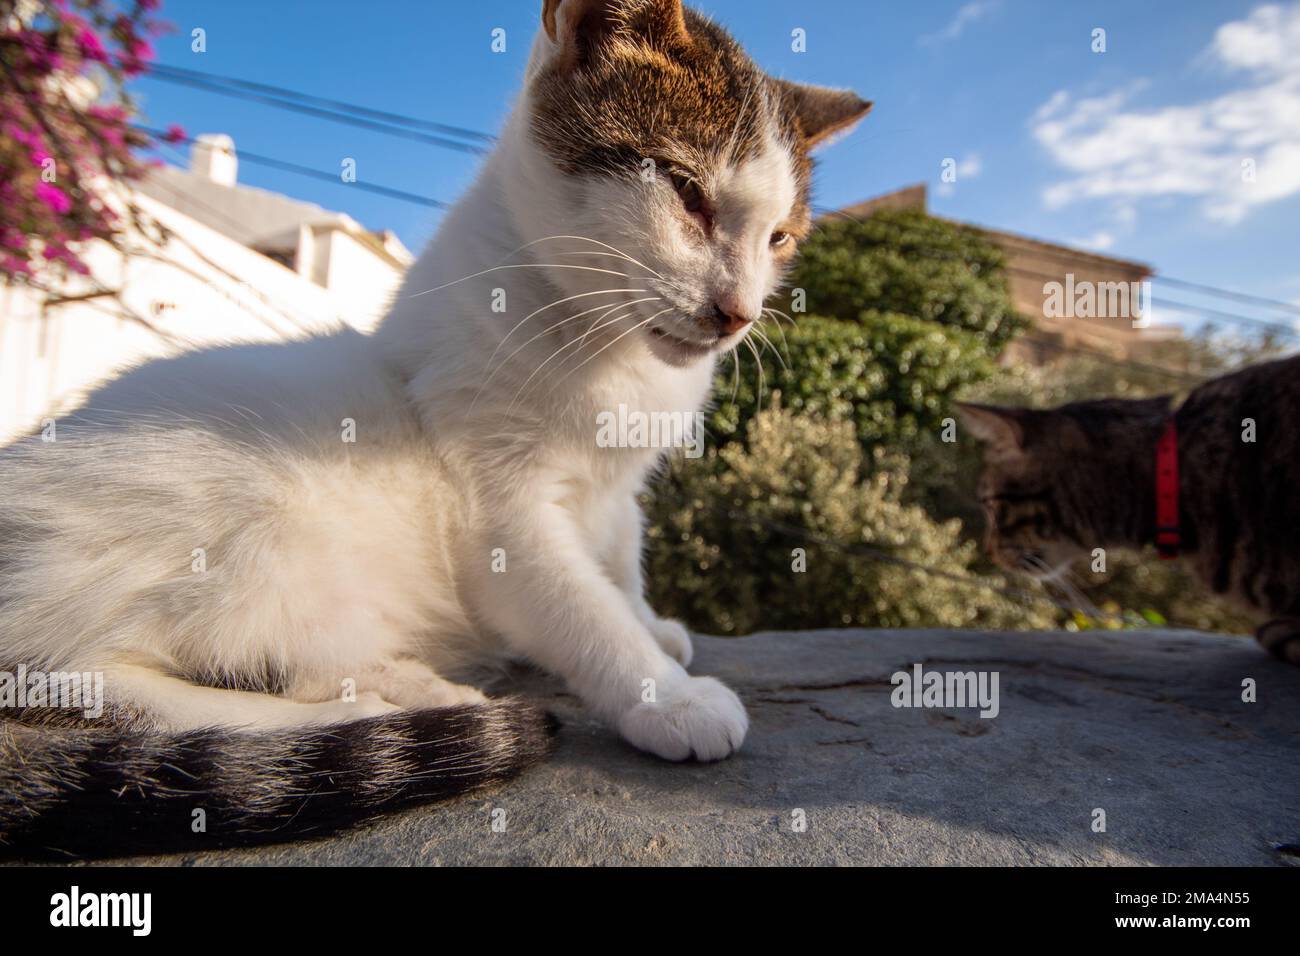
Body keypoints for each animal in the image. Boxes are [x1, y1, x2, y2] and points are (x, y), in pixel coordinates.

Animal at [5, 0, 873, 858]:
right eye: (687, 190)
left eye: (780, 238)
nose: (738, 312)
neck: (608, 348)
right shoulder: (499, 509)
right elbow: (578, 607)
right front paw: (664, 694)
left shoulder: (617, 485)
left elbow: (620, 555)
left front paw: (650, 625)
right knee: (81, 682)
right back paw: (355, 721)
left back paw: (401, 686)